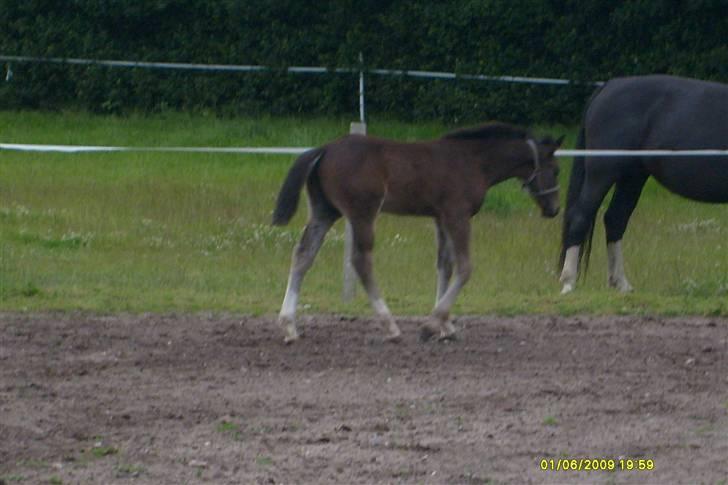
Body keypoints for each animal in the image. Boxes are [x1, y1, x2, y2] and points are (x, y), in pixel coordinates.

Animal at [272, 125, 564, 344]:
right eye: (556, 169)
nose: (553, 209)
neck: (472, 161)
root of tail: (325, 149)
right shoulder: (457, 215)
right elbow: (465, 267)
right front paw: (431, 325)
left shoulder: (440, 218)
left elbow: (445, 266)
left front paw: (446, 327)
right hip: (362, 213)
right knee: (360, 261)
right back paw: (390, 326)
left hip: (325, 211)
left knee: (303, 255)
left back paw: (289, 326)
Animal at [560, 75, 728, 294]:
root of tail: (610, 86)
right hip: (602, 173)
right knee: (581, 217)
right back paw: (568, 283)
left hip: (632, 177)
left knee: (615, 219)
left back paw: (621, 284)